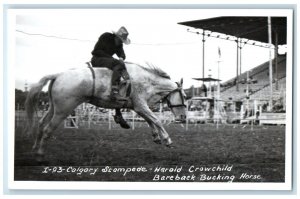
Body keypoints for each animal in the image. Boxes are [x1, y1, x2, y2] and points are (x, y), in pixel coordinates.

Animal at [24, 61, 186, 155]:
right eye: (184, 96)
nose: (183, 117)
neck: (147, 81)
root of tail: (58, 75)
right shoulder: (141, 104)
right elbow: (155, 120)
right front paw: (167, 139)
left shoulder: (137, 107)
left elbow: (149, 120)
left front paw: (157, 137)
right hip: (63, 110)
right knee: (47, 129)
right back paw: (40, 154)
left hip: (54, 108)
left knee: (41, 124)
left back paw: (35, 147)